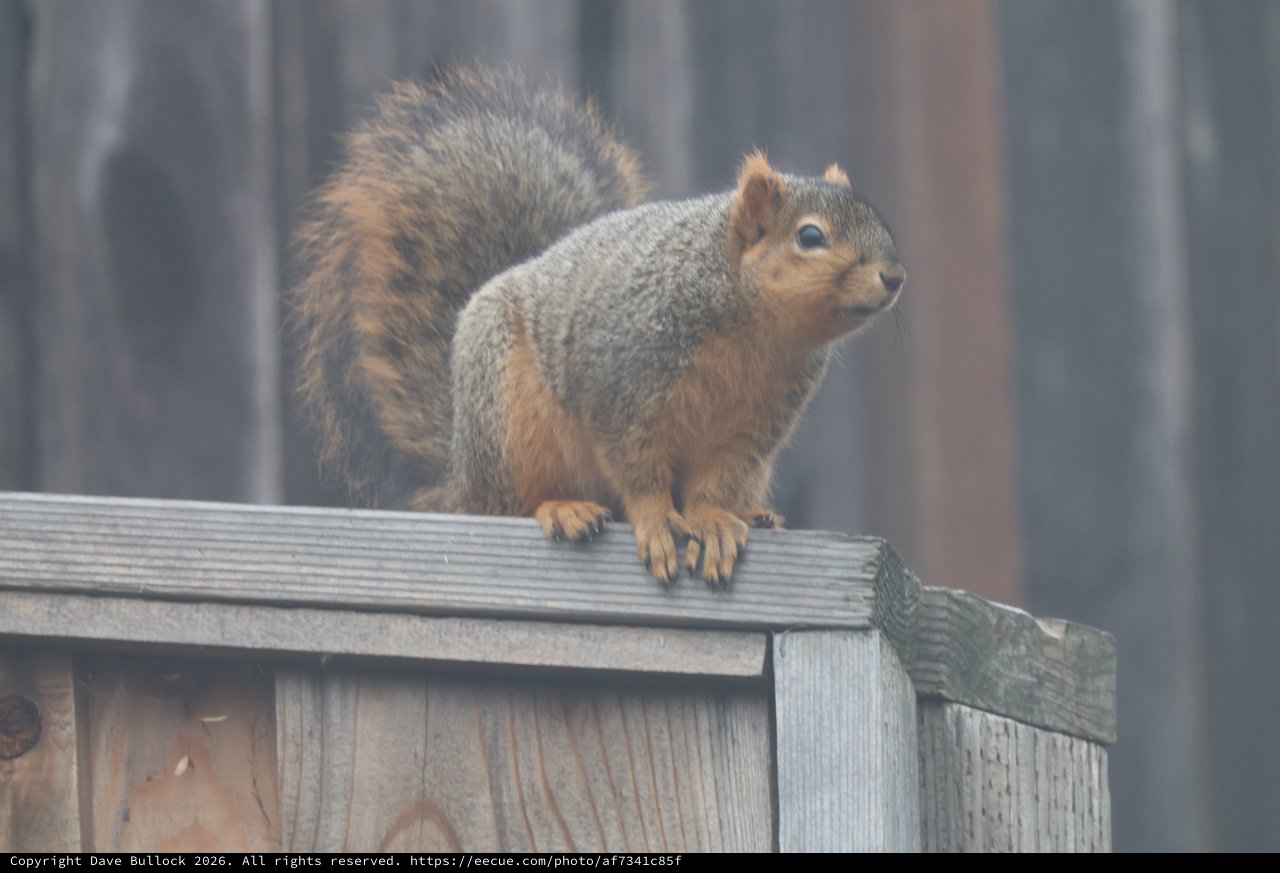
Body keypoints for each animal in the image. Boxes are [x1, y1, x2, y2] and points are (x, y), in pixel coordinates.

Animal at [291, 67, 904, 587]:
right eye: (810, 237)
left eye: (879, 220)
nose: (895, 277)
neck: (756, 330)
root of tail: (461, 479)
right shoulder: (621, 384)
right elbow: (636, 468)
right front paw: (657, 522)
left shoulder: (756, 426)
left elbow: (717, 479)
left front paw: (712, 521)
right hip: (509, 422)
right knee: (510, 506)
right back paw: (562, 509)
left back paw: (753, 514)